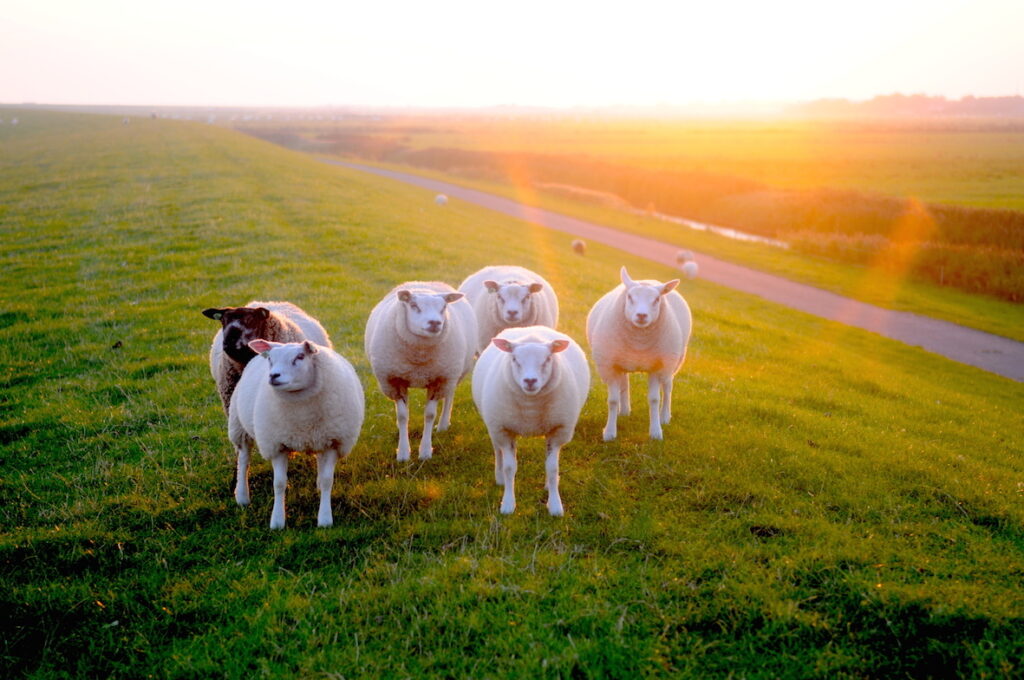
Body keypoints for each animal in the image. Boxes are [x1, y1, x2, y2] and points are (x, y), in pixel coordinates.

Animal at [230, 340, 366, 532]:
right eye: (270, 359)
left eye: (300, 357)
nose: (273, 375)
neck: (303, 417)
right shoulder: (276, 444)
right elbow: (279, 483)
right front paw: (277, 521)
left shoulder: (334, 442)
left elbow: (327, 480)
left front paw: (325, 519)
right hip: (238, 425)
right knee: (243, 461)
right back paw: (242, 496)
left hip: (320, 436)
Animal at [364, 280, 475, 462]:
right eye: (414, 305)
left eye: (443, 307)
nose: (435, 323)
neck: (419, 359)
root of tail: (425, 283)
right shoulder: (395, 380)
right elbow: (403, 416)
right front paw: (403, 452)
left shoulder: (439, 379)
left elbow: (429, 415)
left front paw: (425, 451)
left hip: (454, 372)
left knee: (449, 397)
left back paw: (443, 424)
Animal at [468, 325, 589, 516]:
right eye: (515, 359)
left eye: (548, 359)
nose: (530, 380)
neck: (531, 407)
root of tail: (530, 328)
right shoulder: (503, 429)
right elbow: (510, 468)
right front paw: (508, 504)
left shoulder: (558, 430)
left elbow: (552, 468)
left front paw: (555, 505)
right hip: (494, 425)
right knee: (497, 450)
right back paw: (499, 477)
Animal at [589, 266, 692, 440]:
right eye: (630, 297)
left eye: (656, 300)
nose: (642, 315)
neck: (638, 344)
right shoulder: (610, 366)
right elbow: (613, 400)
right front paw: (609, 432)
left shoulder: (657, 366)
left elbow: (655, 399)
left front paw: (656, 431)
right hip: (622, 358)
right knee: (625, 383)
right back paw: (624, 411)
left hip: (673, 361)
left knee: (668, 387)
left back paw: (665, 416)